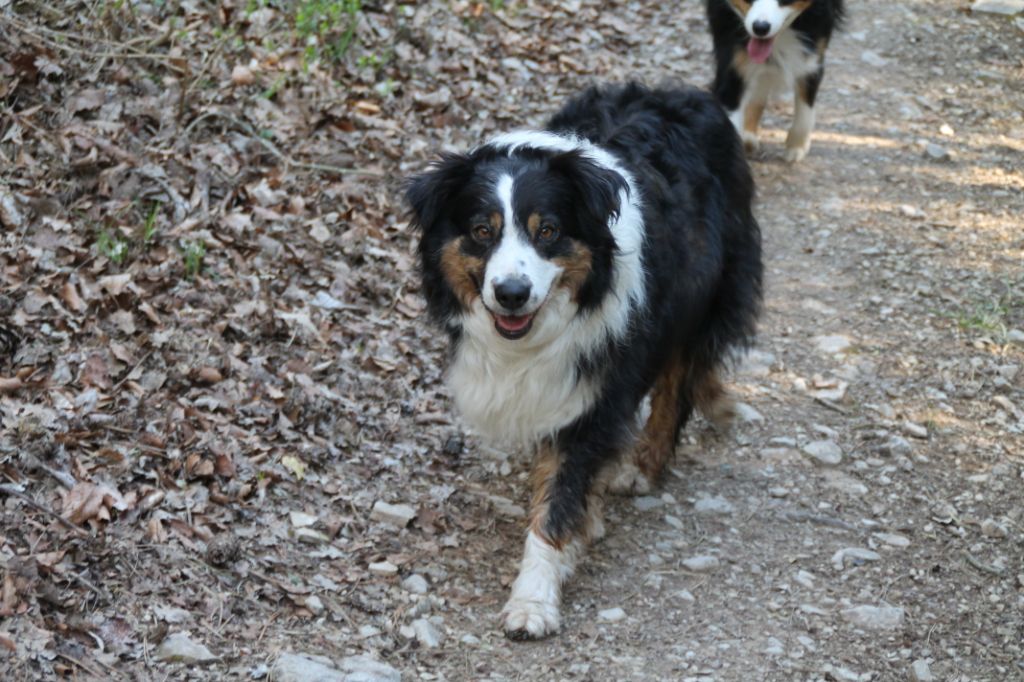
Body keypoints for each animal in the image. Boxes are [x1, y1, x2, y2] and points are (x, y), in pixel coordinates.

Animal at [401, 83, 761, 638]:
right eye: (482, 231)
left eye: (547, 231)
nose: (511, 294)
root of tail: (688, 94)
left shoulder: (597, 386)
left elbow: (561, 495)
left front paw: (533, 599)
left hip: (704, 291)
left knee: (679, 382)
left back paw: (645, 465)